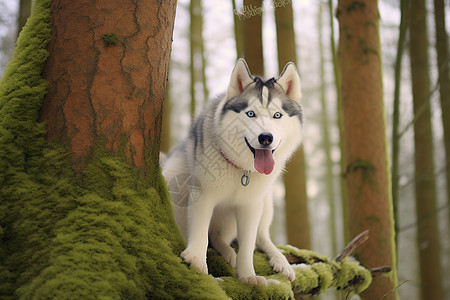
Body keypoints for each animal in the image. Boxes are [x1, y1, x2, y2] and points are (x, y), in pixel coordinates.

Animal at [162, 58, 302, 286]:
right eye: (250, 113)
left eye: (277, 115)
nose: (266, 137)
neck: (240, 169)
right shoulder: (203, 195)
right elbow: (200, 232)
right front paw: (196, 261)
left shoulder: (250, 205)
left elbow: (248, 245)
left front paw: (248, 276)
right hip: (173, 177)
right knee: (211, 235)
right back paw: (227, 252)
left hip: (266, 202)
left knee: (261, 237)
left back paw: (279, 260)